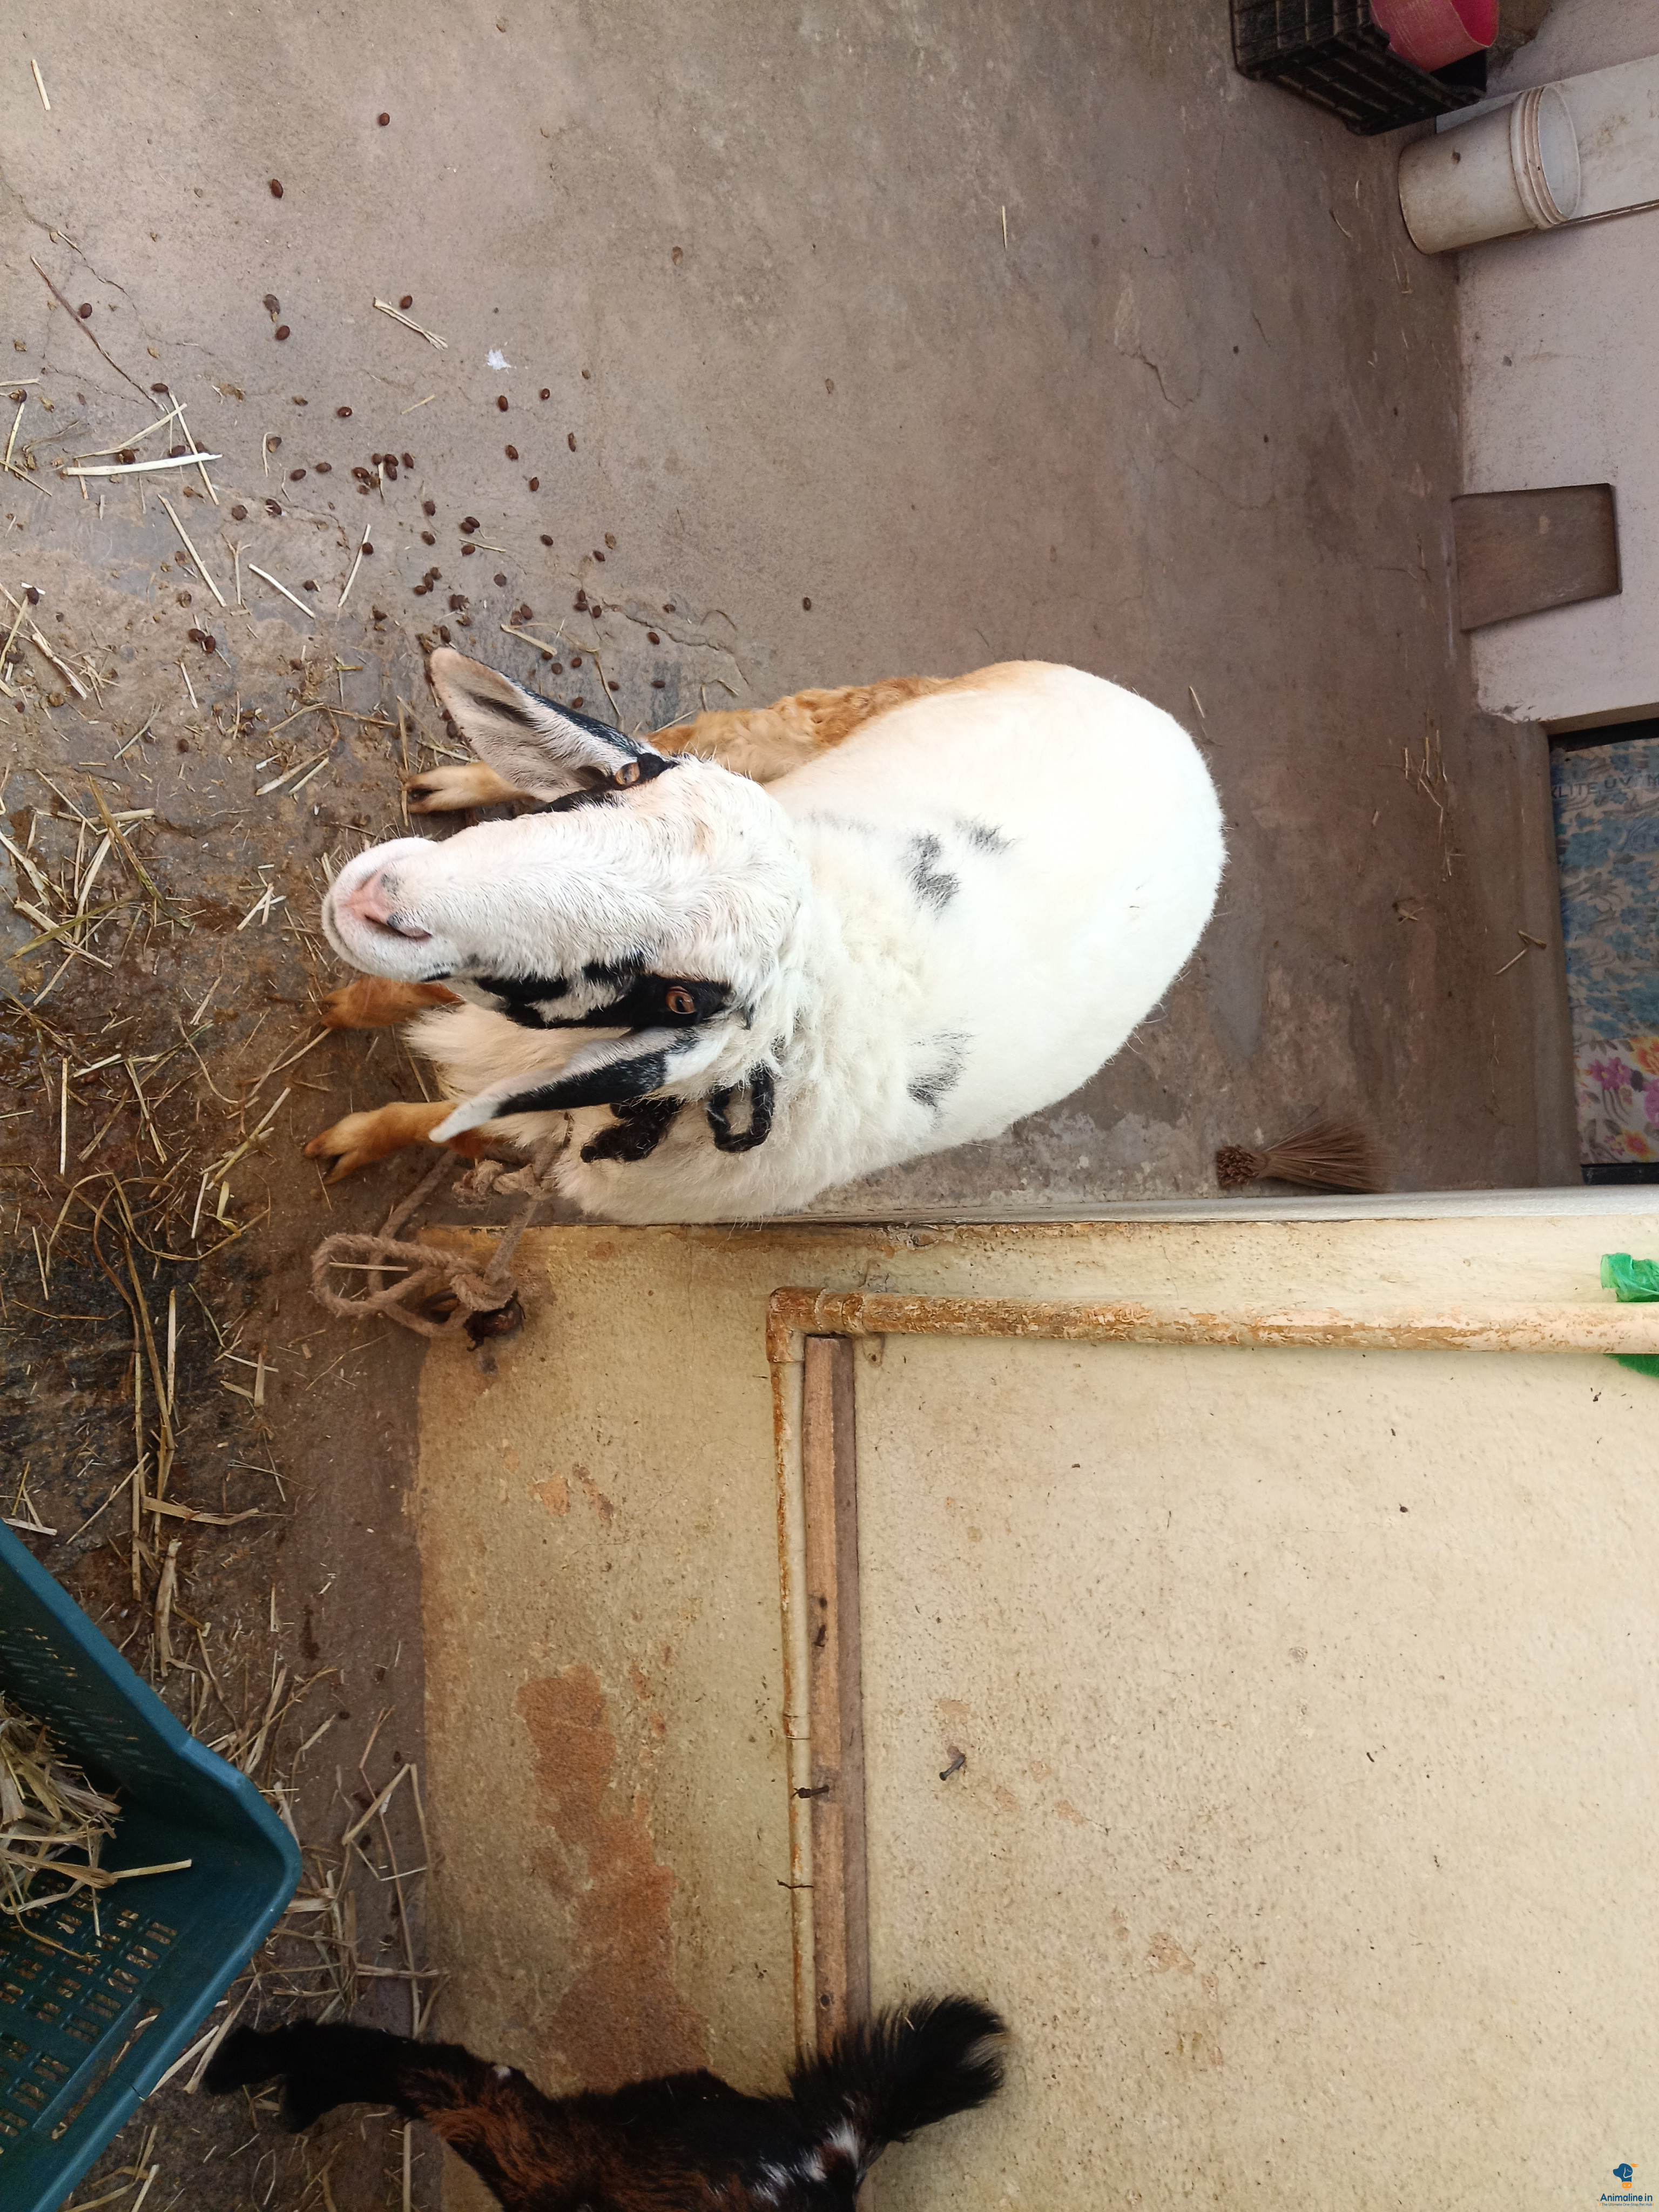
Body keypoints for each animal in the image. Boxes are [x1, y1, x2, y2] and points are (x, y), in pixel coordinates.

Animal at [307, 650, 1224, 1222]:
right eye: (628, 782)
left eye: (682, 997)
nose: (375, 897)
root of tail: (1179, 742)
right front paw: (344, 1012)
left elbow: (444, 1119)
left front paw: (353, 1136)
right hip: (833, 718)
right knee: (708, 730)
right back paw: (458, 782)